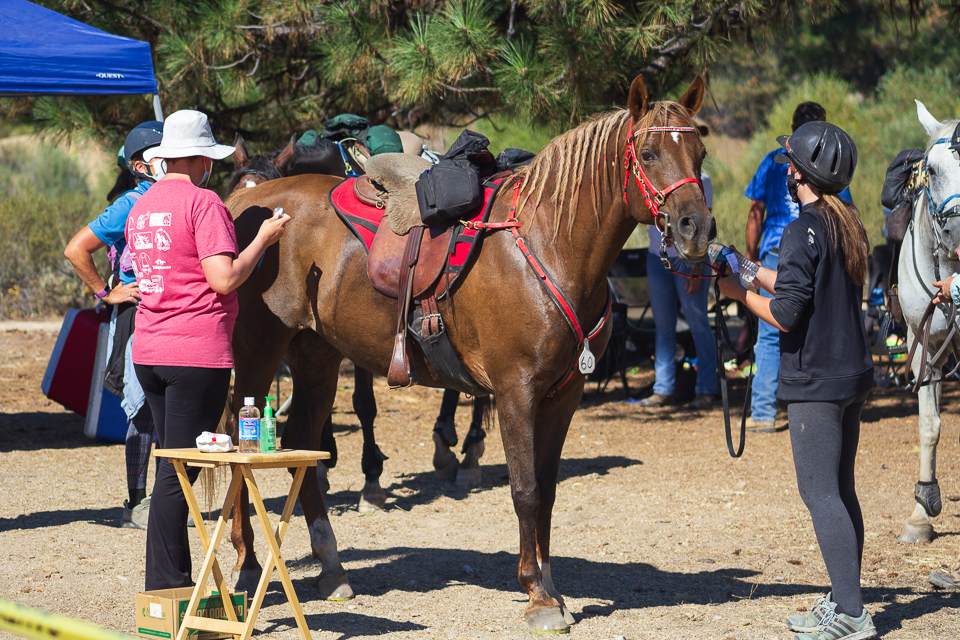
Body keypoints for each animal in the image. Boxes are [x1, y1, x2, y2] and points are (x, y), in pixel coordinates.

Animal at [229, 75, 716, 632]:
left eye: (700, 153)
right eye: (650, 153)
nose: (696, 228)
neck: (548, 245)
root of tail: (243, 203)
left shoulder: (564, 395)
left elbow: (547, 491)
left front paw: (550, 586)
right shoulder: (515, 390)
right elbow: (525, 489)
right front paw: (537, 596)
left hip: (316, 360)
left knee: (301, 449)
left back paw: (332, 570)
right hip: (259, 353)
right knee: (238, 449)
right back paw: (246, 565)